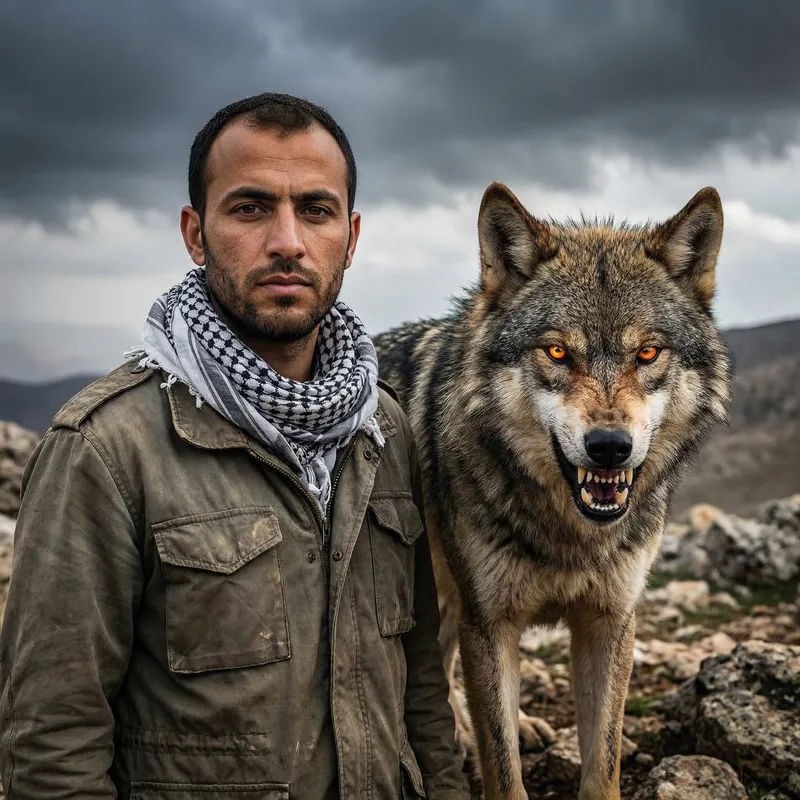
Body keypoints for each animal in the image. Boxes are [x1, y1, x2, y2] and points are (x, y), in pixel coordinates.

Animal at [373, 183, 731, 800]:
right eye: (558, 352)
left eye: (647, 353)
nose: (609, 446)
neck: (572, 534)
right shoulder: (490, 620)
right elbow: (502, 767)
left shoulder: (610, 620)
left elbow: (602, 763)